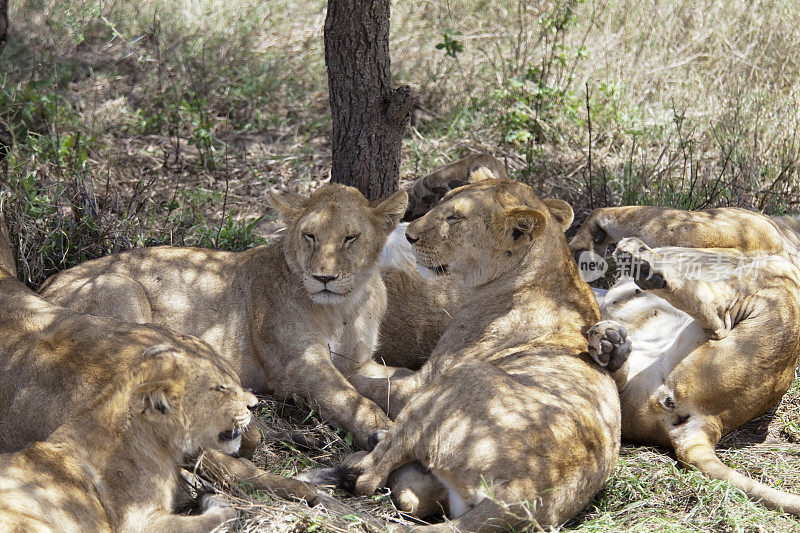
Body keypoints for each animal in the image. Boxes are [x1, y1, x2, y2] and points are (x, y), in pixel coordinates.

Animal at [0, 342, 256, 528]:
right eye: (220, 388)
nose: (255, 405)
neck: (161, 445)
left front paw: (206, 490)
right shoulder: (141, 523)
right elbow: (212, 520)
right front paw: (224, 506)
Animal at [39, 184, 406, 448]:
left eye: (351, 238)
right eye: (310, 236)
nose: (323, 278)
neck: (346, 307)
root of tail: (44, 287)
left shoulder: (355, 364)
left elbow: (396, 382)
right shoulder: (296, 366)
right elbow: (349, 398)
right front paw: (382, 432)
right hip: (121, 287)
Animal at [322, 174, 620, 528]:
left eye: (455, 218)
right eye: (442, 203)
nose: (408, 235)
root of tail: (524, 497)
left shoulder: (427, 380)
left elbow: (368, 381)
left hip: (463, 378)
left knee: (370, 478)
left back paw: (358, 459)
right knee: (410, 497)